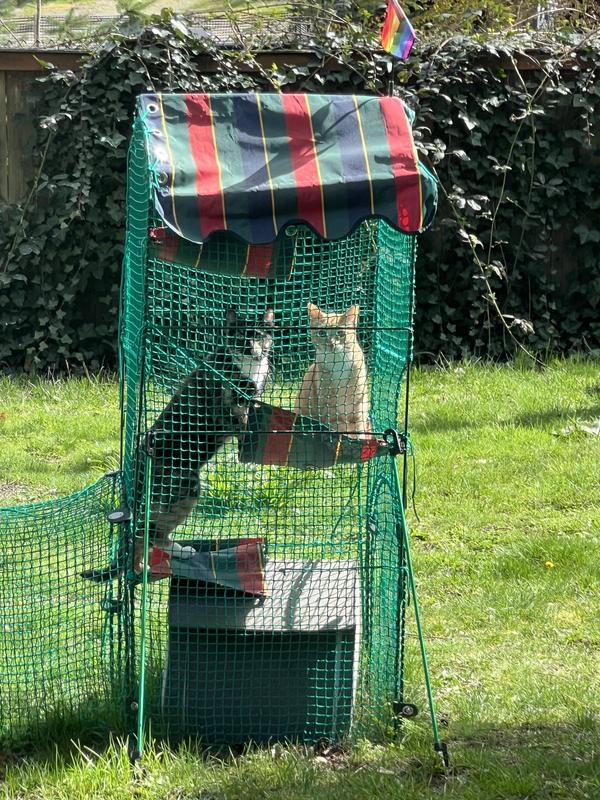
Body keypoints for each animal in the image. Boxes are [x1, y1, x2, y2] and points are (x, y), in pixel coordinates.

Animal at [81, 307, 274, 582]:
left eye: (257, 334)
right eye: (238, 335)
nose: (248, 345)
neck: (251, 368)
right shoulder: (223, 409)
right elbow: (241, 421)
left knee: (145, 536)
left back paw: (151, 564)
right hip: (181, 487)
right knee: (145, 533)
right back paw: (152, 563)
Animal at [295, 303, 371, 440]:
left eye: (340, 333)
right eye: (321, 333)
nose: (331, 344)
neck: (338, 362)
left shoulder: (358, 405)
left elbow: (358, 428)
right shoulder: (330, 408)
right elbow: (338, 429)